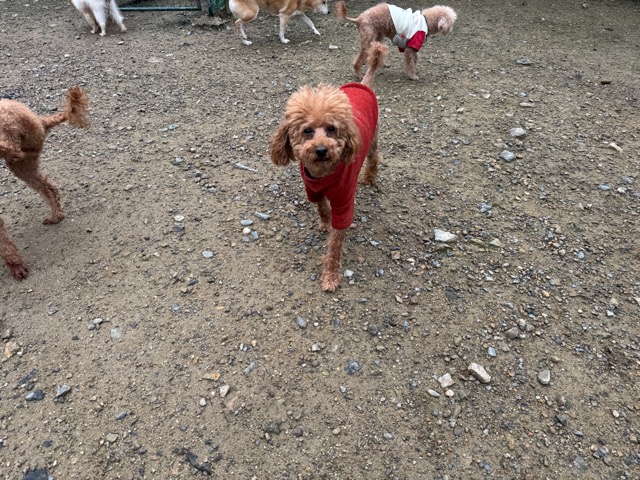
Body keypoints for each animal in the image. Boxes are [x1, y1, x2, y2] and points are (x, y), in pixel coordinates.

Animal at [0, 87, 89, 280]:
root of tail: (40, 121)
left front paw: (15, 265)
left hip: (11, 136)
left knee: (11, 148)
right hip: (25, 163)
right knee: (48, 188)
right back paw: (56, 216)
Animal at [270, 43, 388, 292]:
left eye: (332, 129)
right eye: (307, 131)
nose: (322, 149)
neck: (323, 174)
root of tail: (363, 85)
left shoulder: (344, 202)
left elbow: (335, 245)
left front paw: (331, 276)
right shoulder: (312, 189)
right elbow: (322, 208)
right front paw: (324, 223)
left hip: (373, 139)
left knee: (374, 157)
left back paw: (370, 177)